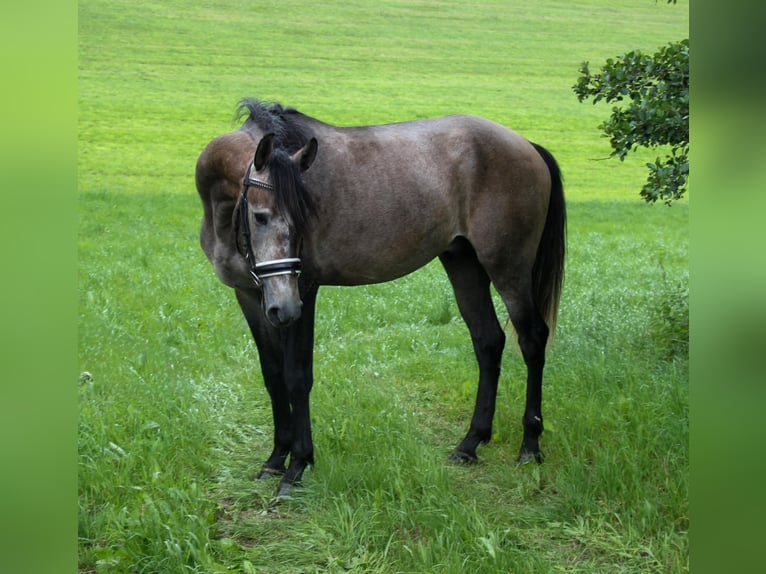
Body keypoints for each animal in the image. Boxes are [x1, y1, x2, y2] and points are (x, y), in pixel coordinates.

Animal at [196, 98, 566, 498]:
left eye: (303, 221)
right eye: (261, 216)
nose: (287, 308)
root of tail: (527, 146)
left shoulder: (304, 291)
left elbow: (297, 377)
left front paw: (296, 467)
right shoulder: (251, 296)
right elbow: (273, 376)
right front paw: (275, 460)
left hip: (509, 268)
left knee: (532, 340)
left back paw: (530, 446)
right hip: (463, 263)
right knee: (488, 341)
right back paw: (470, 444)